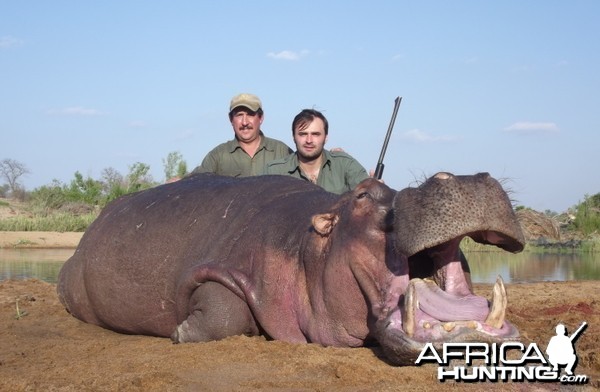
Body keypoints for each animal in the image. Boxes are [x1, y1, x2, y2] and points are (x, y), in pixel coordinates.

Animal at [57, 172, 524, 364]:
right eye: (363, 194)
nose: (461, 176)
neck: (309, 246)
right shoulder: (222, 268)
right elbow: (222, 309)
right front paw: (180, 332)